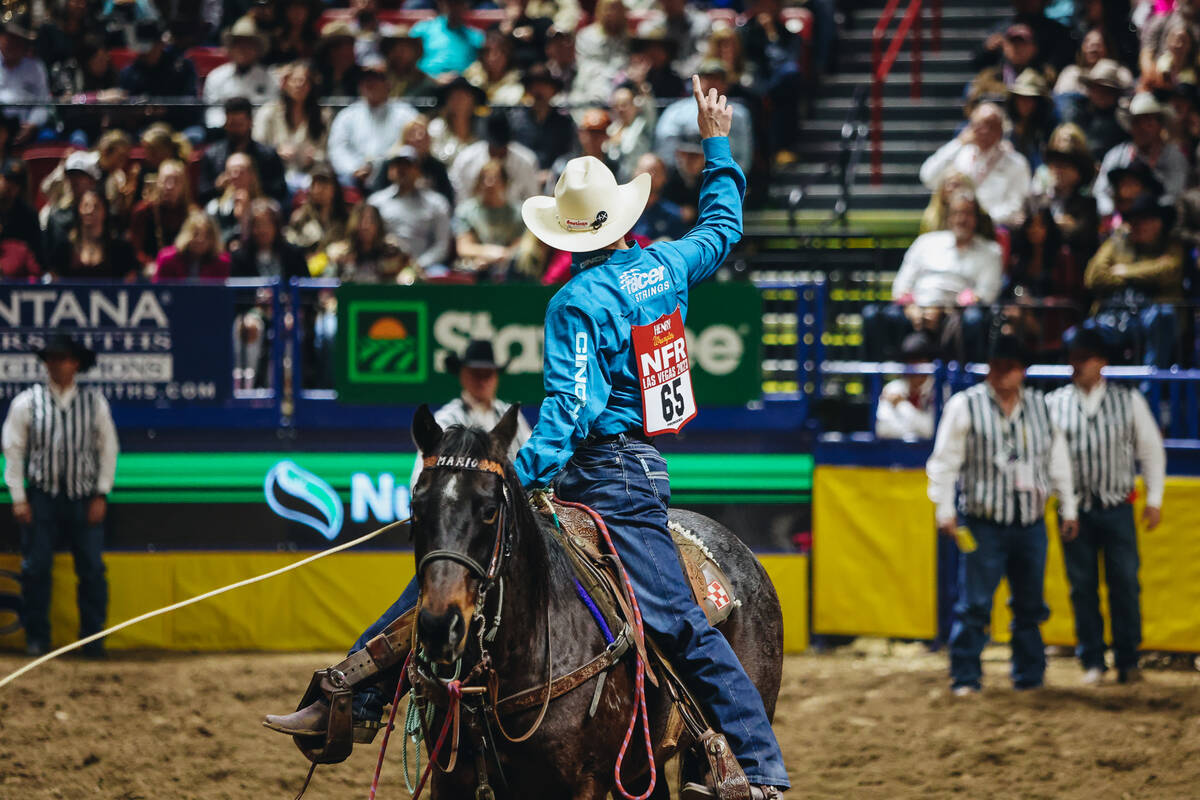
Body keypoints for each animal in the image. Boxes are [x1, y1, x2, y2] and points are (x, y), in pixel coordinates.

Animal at [410, 410, 787, 796]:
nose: (439, 625)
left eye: (488, 510)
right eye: (416, 506)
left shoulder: (585, 781)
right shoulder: (449, 779)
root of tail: (748, 556)